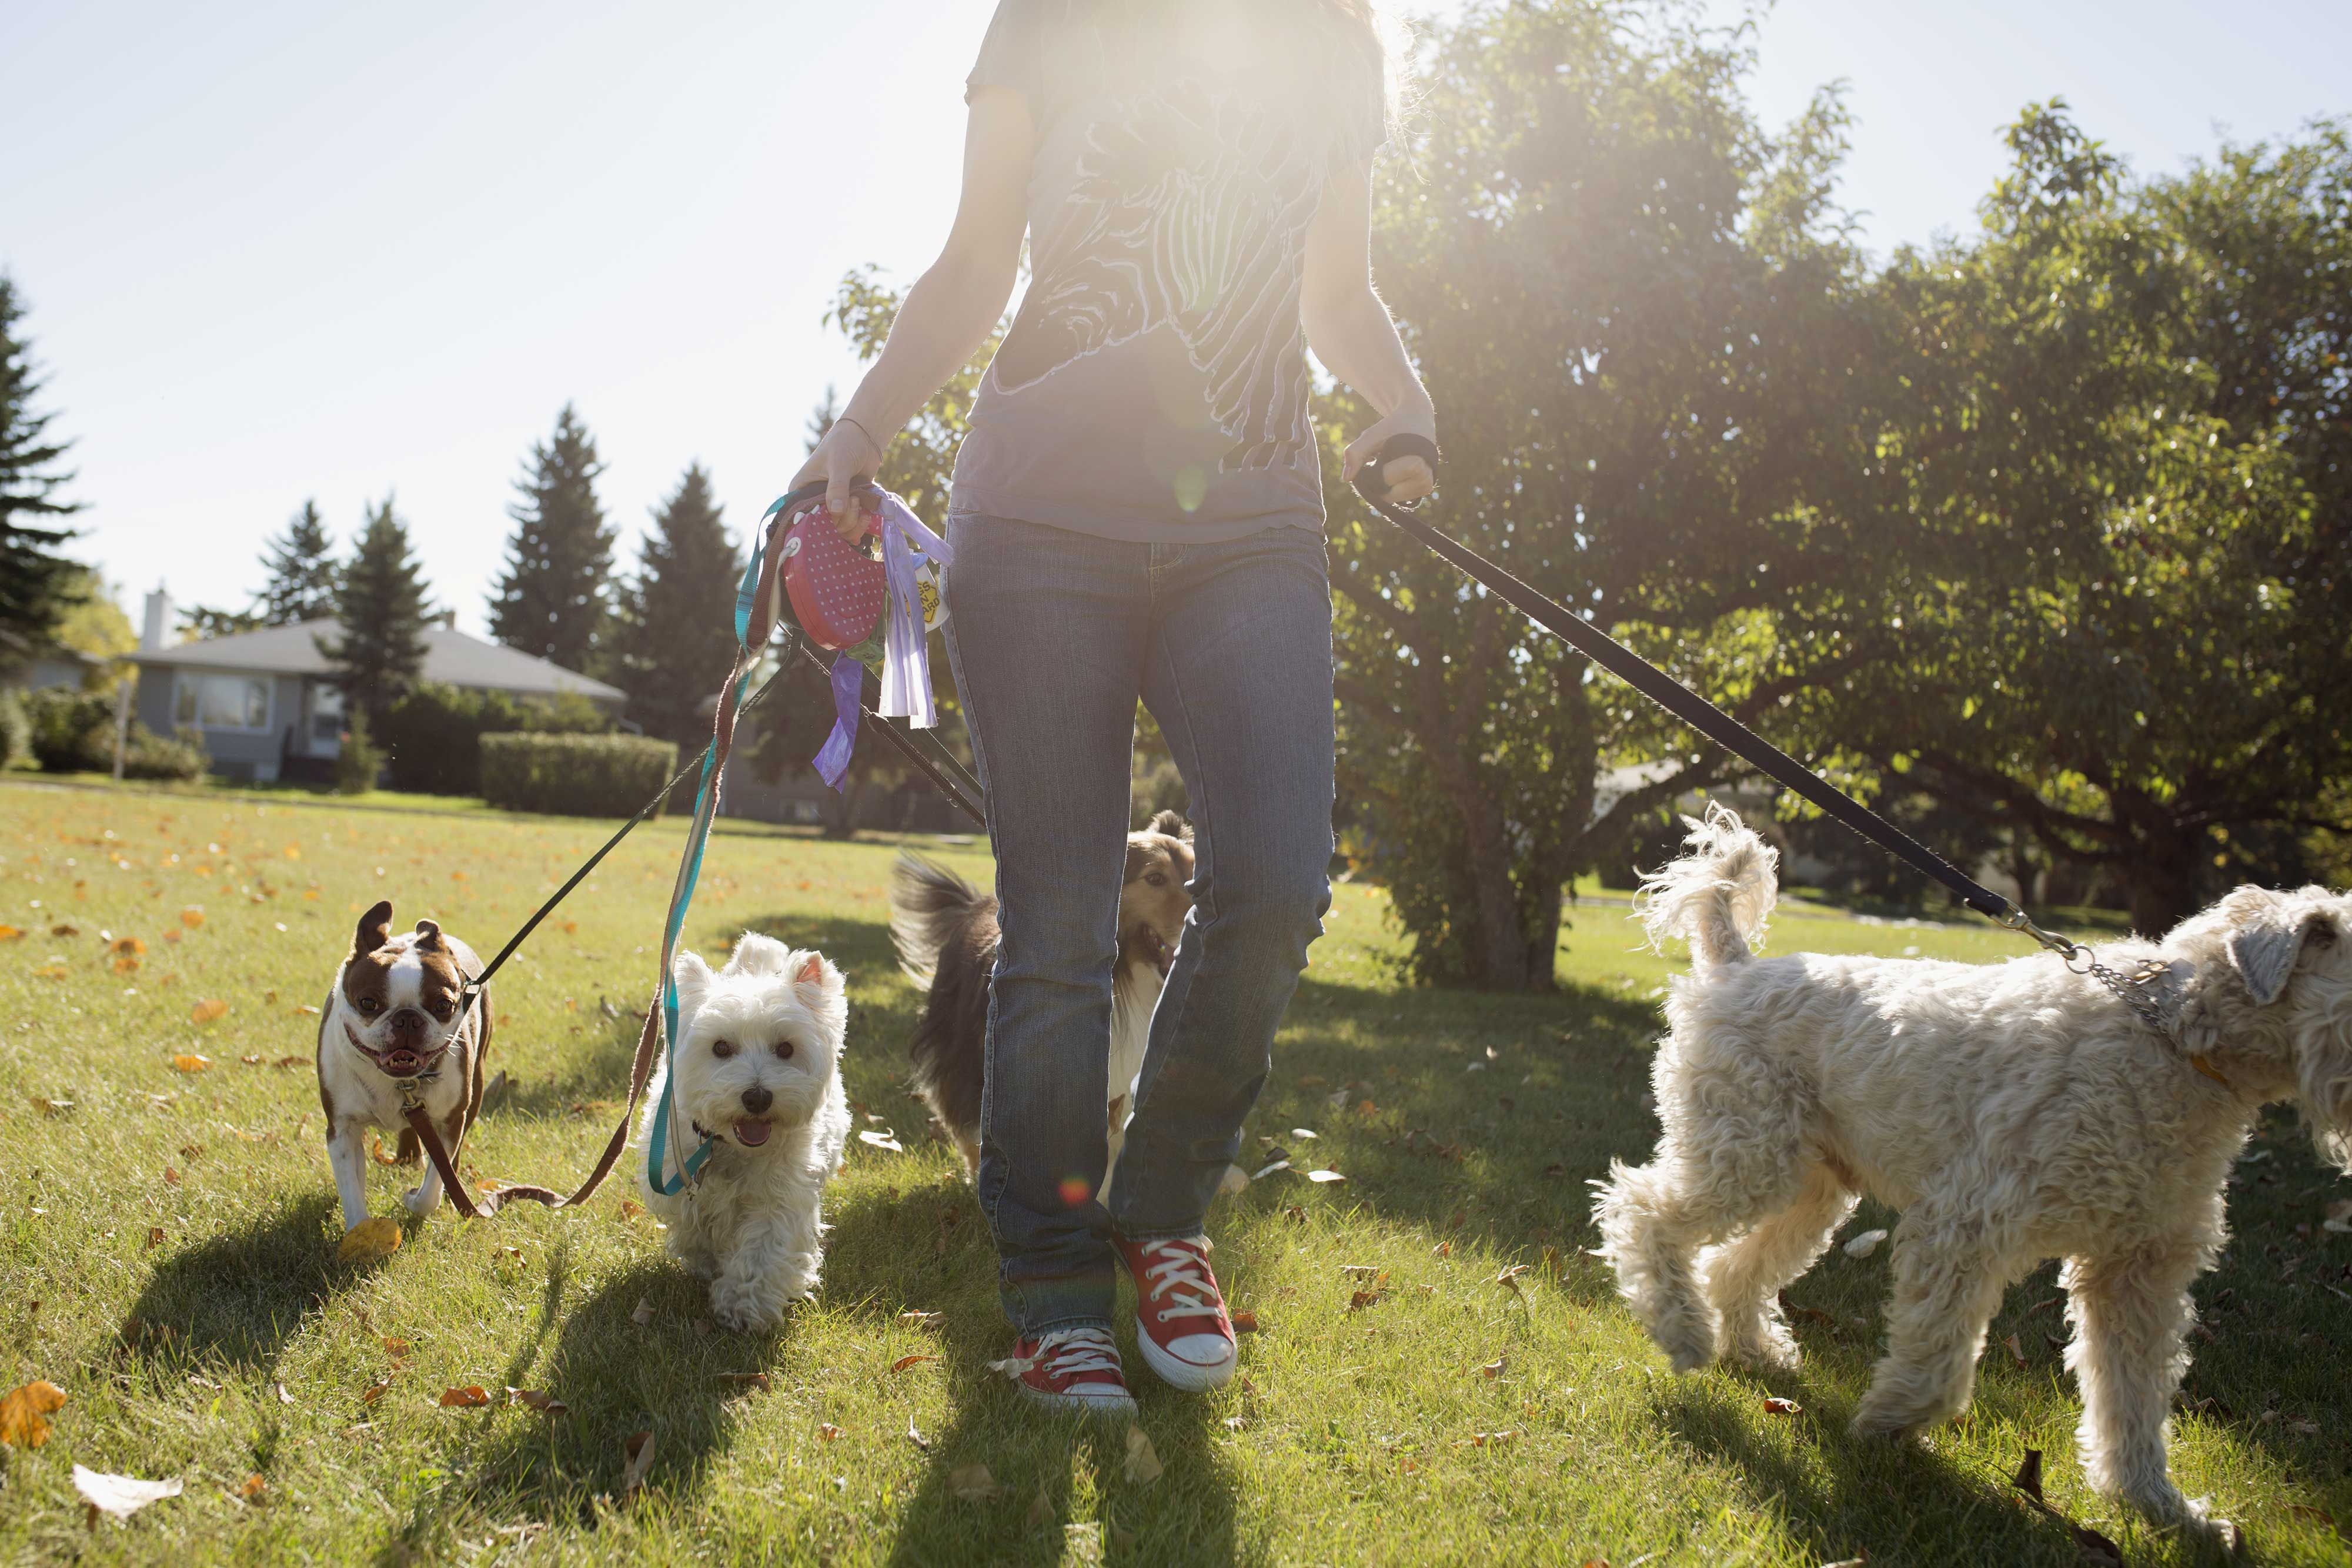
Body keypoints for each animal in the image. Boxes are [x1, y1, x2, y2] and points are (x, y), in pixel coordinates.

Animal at [640, 940, 851, 1335]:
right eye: (721, 1048)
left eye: (786, 1049)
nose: (757, 1098)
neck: (730, 1146)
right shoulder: (681, 1179)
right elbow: (695, 1229)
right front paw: (706, 1263)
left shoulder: (781, 1197)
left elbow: (763, 1249)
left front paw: (742, 1306)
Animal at [1590, 804, 2343, 1542]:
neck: (2173, 1036)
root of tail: (1736, 966)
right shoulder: (1966, 1223)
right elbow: (1940, 1358)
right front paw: (1888, 1425)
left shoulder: (2137, 1270)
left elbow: (2131, 1400)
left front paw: (2158, 1506)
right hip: (1746, 1159)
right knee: (1640, 1208)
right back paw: (1684, 1334)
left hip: (1811, 1187)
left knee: (1731, 1265)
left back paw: (1754, 1349)